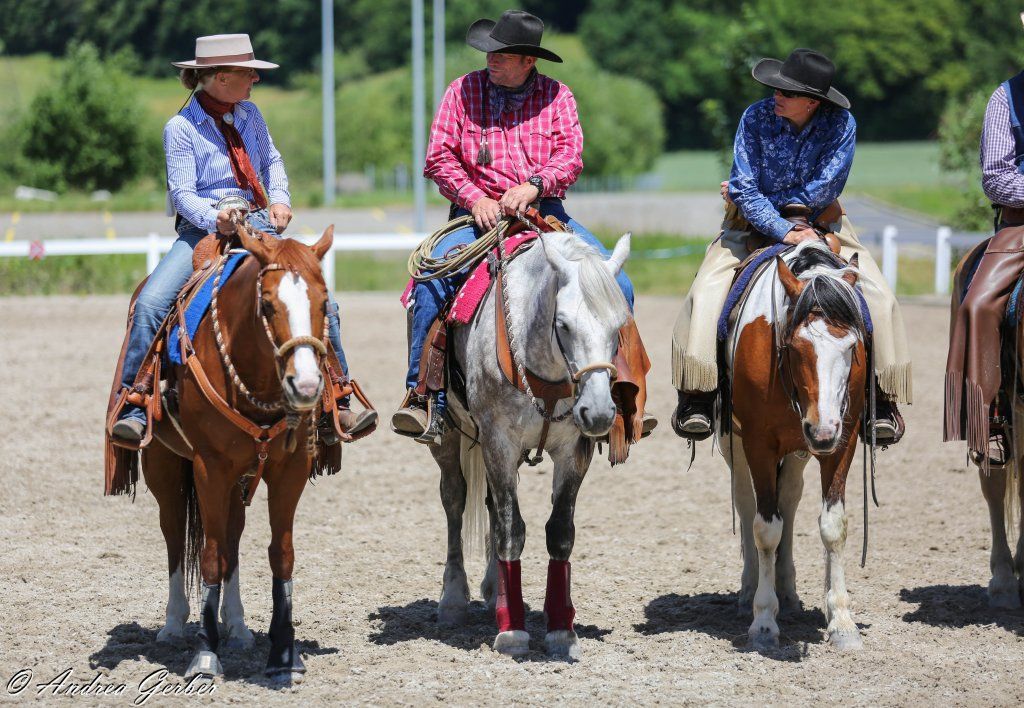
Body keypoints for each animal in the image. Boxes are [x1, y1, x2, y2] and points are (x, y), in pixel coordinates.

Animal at [141, 219, 338, 682]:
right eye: (266, 305)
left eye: (325, 304)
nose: (306, 386)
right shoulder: (209, 469)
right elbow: (210, 556)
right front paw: (205, 654)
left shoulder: (290, 468)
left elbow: (280, 555)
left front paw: (283, 652)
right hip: (163, 468)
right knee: (175, 535)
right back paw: (174, 625)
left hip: (240, 479)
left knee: (232, 536)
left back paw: (238, 627)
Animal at [429, 229, 631, 659]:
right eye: (564, 324)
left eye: (618, 326)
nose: (599, 413)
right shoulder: (498, 442)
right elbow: (511, 529)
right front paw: (512, 632)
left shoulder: (573, 452)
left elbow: (559, 532)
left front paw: (561, 630)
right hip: (450, 437)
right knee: (455, 500)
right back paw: (454, 599)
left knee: (490, 503)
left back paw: (497, 592)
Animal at [723, 240, 869, 651]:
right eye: (795, 346)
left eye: (851, 346)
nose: (821, 431)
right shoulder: (758, 443)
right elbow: (765, 529)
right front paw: (763, 622)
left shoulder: (842, 442)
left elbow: (833, 527)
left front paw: (842, 622)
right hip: (736, 446)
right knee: (747, 504)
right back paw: (749, 592)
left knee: (787, 501)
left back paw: (787, 593)